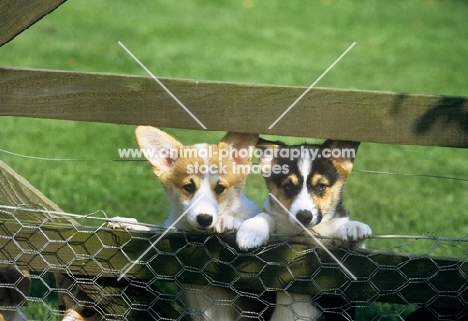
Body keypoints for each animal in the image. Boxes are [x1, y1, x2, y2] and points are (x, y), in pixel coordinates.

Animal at [238, 140, 372, 320]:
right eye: (288, 186)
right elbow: (267, 216)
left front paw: (354, 228)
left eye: (321, 186)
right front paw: (252, 229)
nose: (304, 216)